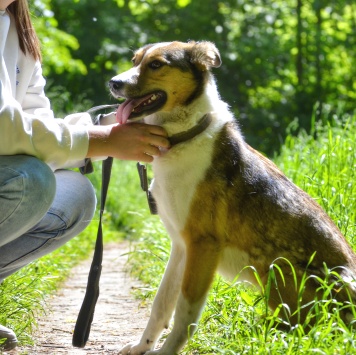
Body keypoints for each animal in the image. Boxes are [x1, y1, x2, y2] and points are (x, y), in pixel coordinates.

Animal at [108, 40, 356, 354]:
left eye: (155, 64)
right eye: (134, 60)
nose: (113, 83)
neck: (184, 136)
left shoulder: (202, 245)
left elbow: (185, 312)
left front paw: (167, 350)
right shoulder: (181, 246)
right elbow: (161, 304)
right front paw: (143, 345)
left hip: (277, 266)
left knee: (307, 327)